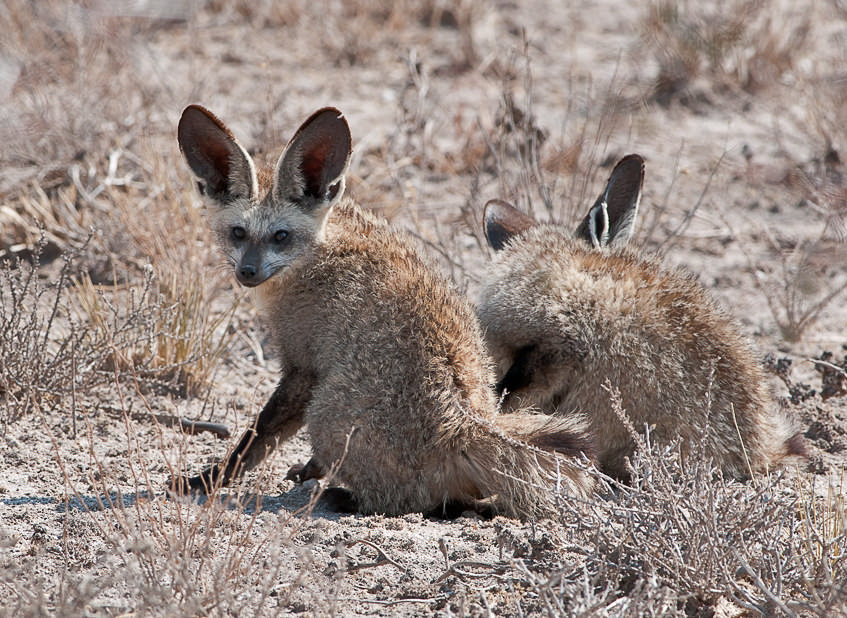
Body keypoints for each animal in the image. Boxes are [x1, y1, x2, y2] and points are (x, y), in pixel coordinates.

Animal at [173, 104, 594, 518]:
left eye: (281, 236)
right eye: (238, 233)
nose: (247, 272)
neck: (324, 250)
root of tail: (466, 424)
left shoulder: (303, 368)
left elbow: (254, 441)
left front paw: (209, 479)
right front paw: (304, 469)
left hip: (324, 411)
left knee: (411, 501)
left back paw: (345, 497)